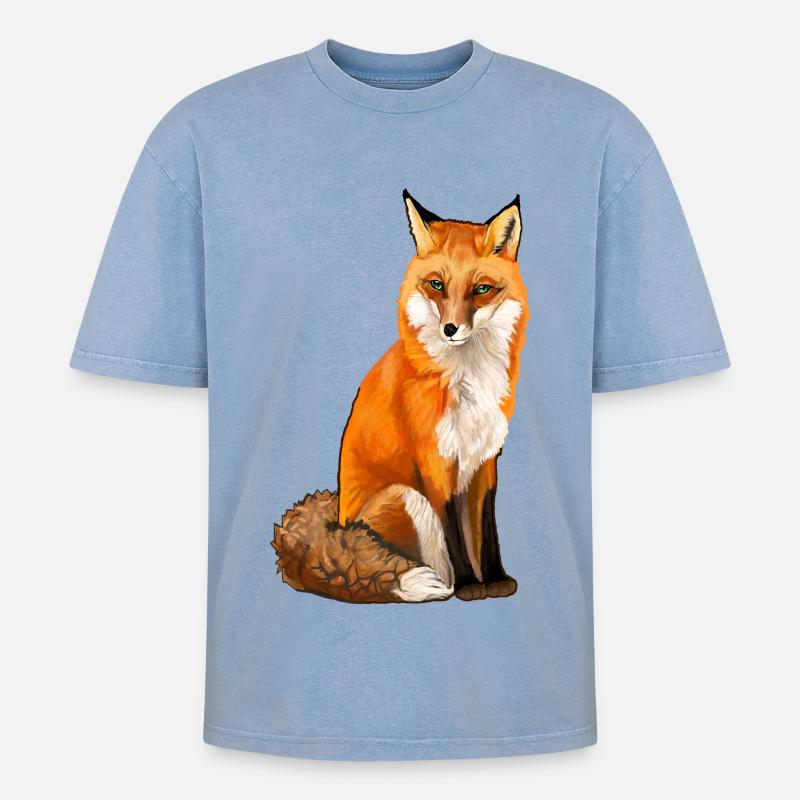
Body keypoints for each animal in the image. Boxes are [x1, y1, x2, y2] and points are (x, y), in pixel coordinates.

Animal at [273, 191, 528, 603]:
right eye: (437, 285)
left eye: (482, 290)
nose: (450, 329)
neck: (467, 380)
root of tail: (337, 521)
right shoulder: (435, 462)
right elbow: (455, 535)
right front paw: (471, 585)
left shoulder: (485, 461)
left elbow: (487, 530)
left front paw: (495, 578)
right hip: (407, 496)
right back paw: (442, 584)